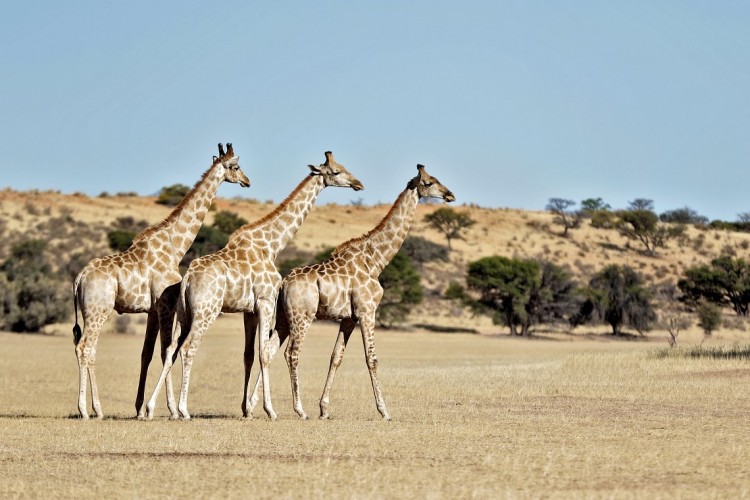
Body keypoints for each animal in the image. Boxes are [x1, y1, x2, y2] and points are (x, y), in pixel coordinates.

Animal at [70, 143, 250, 420]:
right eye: (236, 166)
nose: (247, 181)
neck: (175, 246)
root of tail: (79, 278)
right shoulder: (167, 306)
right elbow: (167, 351)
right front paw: (172, 409)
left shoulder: (153, 310)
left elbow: (147, 353)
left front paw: (140, 409)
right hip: (98, 310)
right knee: (85, 348)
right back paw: (89, 410)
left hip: (91, 312)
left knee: (87, 348)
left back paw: (95, 409)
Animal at [145, 150, 366, 420]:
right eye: (336, 171)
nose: (358, 184)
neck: (271, 245)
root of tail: (187, 279)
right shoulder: (266, 302)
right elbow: (264, 354)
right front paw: (270, 410)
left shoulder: (248, 310)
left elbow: (249, 355)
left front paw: (247, 410)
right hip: (206, 312)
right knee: (188, 349)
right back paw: (183, 409)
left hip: (184, 314)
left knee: (170, 350)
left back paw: (151, 407)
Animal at [250, 163, 456, 418]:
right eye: (429, 182)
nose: (450, 195)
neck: (376, 260)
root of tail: (283, 283)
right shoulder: (367, 311)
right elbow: (372, 359)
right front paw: (384, 411)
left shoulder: (349, 317)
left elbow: (336, 357)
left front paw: (324, 409)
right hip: (302, 317)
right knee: (291, 353)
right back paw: (299, 409)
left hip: (282, 318)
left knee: (269, 351)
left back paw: (256, 406)